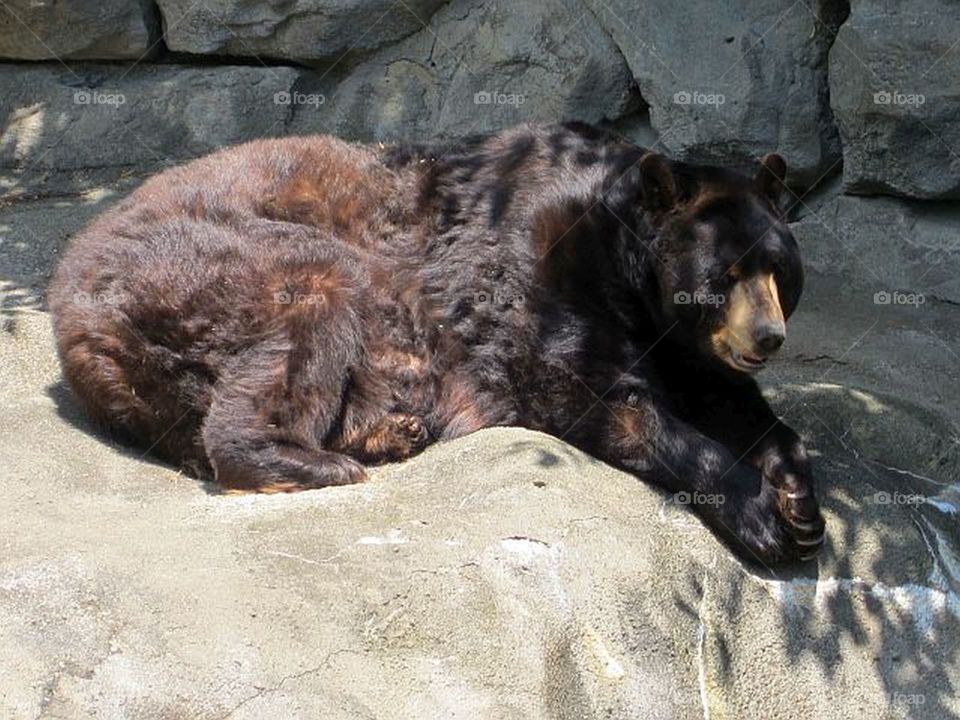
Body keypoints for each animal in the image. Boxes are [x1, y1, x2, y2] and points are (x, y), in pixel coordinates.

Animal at [48, 122, 825, 565]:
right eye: (723, 273)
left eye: (779, 268)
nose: (768, 337)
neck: (623, 260)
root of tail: (67, 300)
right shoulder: (541, 278)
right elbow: (604, 395)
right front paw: (759, 514)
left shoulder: (684, 345)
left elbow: (734, 401)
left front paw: (800, 502)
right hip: (208, 263)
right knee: (310, 301)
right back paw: (315, 460)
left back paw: (388, 432)